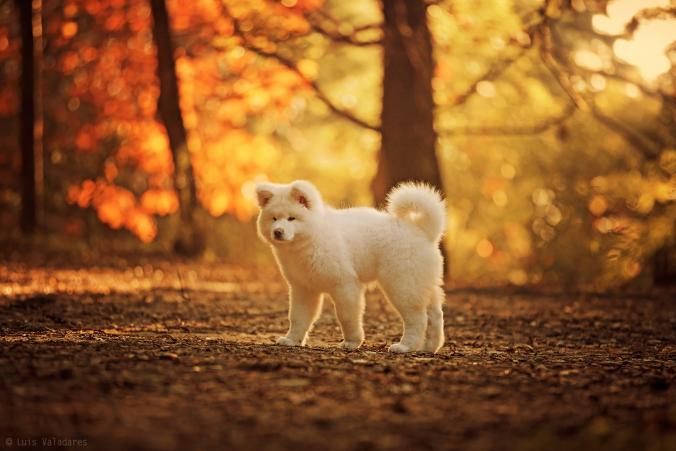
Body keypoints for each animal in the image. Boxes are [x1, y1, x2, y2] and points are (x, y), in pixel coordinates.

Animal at [256, 180, 446, 354]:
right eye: (274, 218)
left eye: (291, 218)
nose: (277, 231)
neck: (311, 238)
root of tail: (422, 231)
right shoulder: (303, 288)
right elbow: (298, 317)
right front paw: (292, 340)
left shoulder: (344, 284)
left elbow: (346, 317)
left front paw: (352, 342)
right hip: (423, 285)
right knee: (435, 316)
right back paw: (429, 348)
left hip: (403, 285)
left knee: (418, 318)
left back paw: (405, 346)